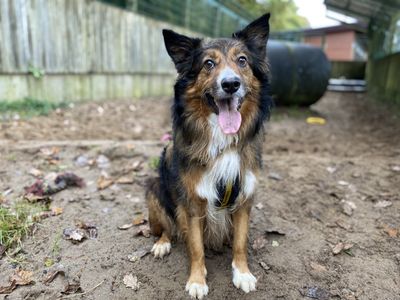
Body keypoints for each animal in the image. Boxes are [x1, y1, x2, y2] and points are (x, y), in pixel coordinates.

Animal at [145, 12, 274, 298]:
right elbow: (196, 248)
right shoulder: (193, 203)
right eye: (208, 63)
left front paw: (242, 273)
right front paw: (197, 280)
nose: (231, 84)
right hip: (153, 188)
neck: (223, 139)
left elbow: (240, 243)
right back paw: (162, 243)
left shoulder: (244, 198)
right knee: (165, 229)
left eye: (242, 61)